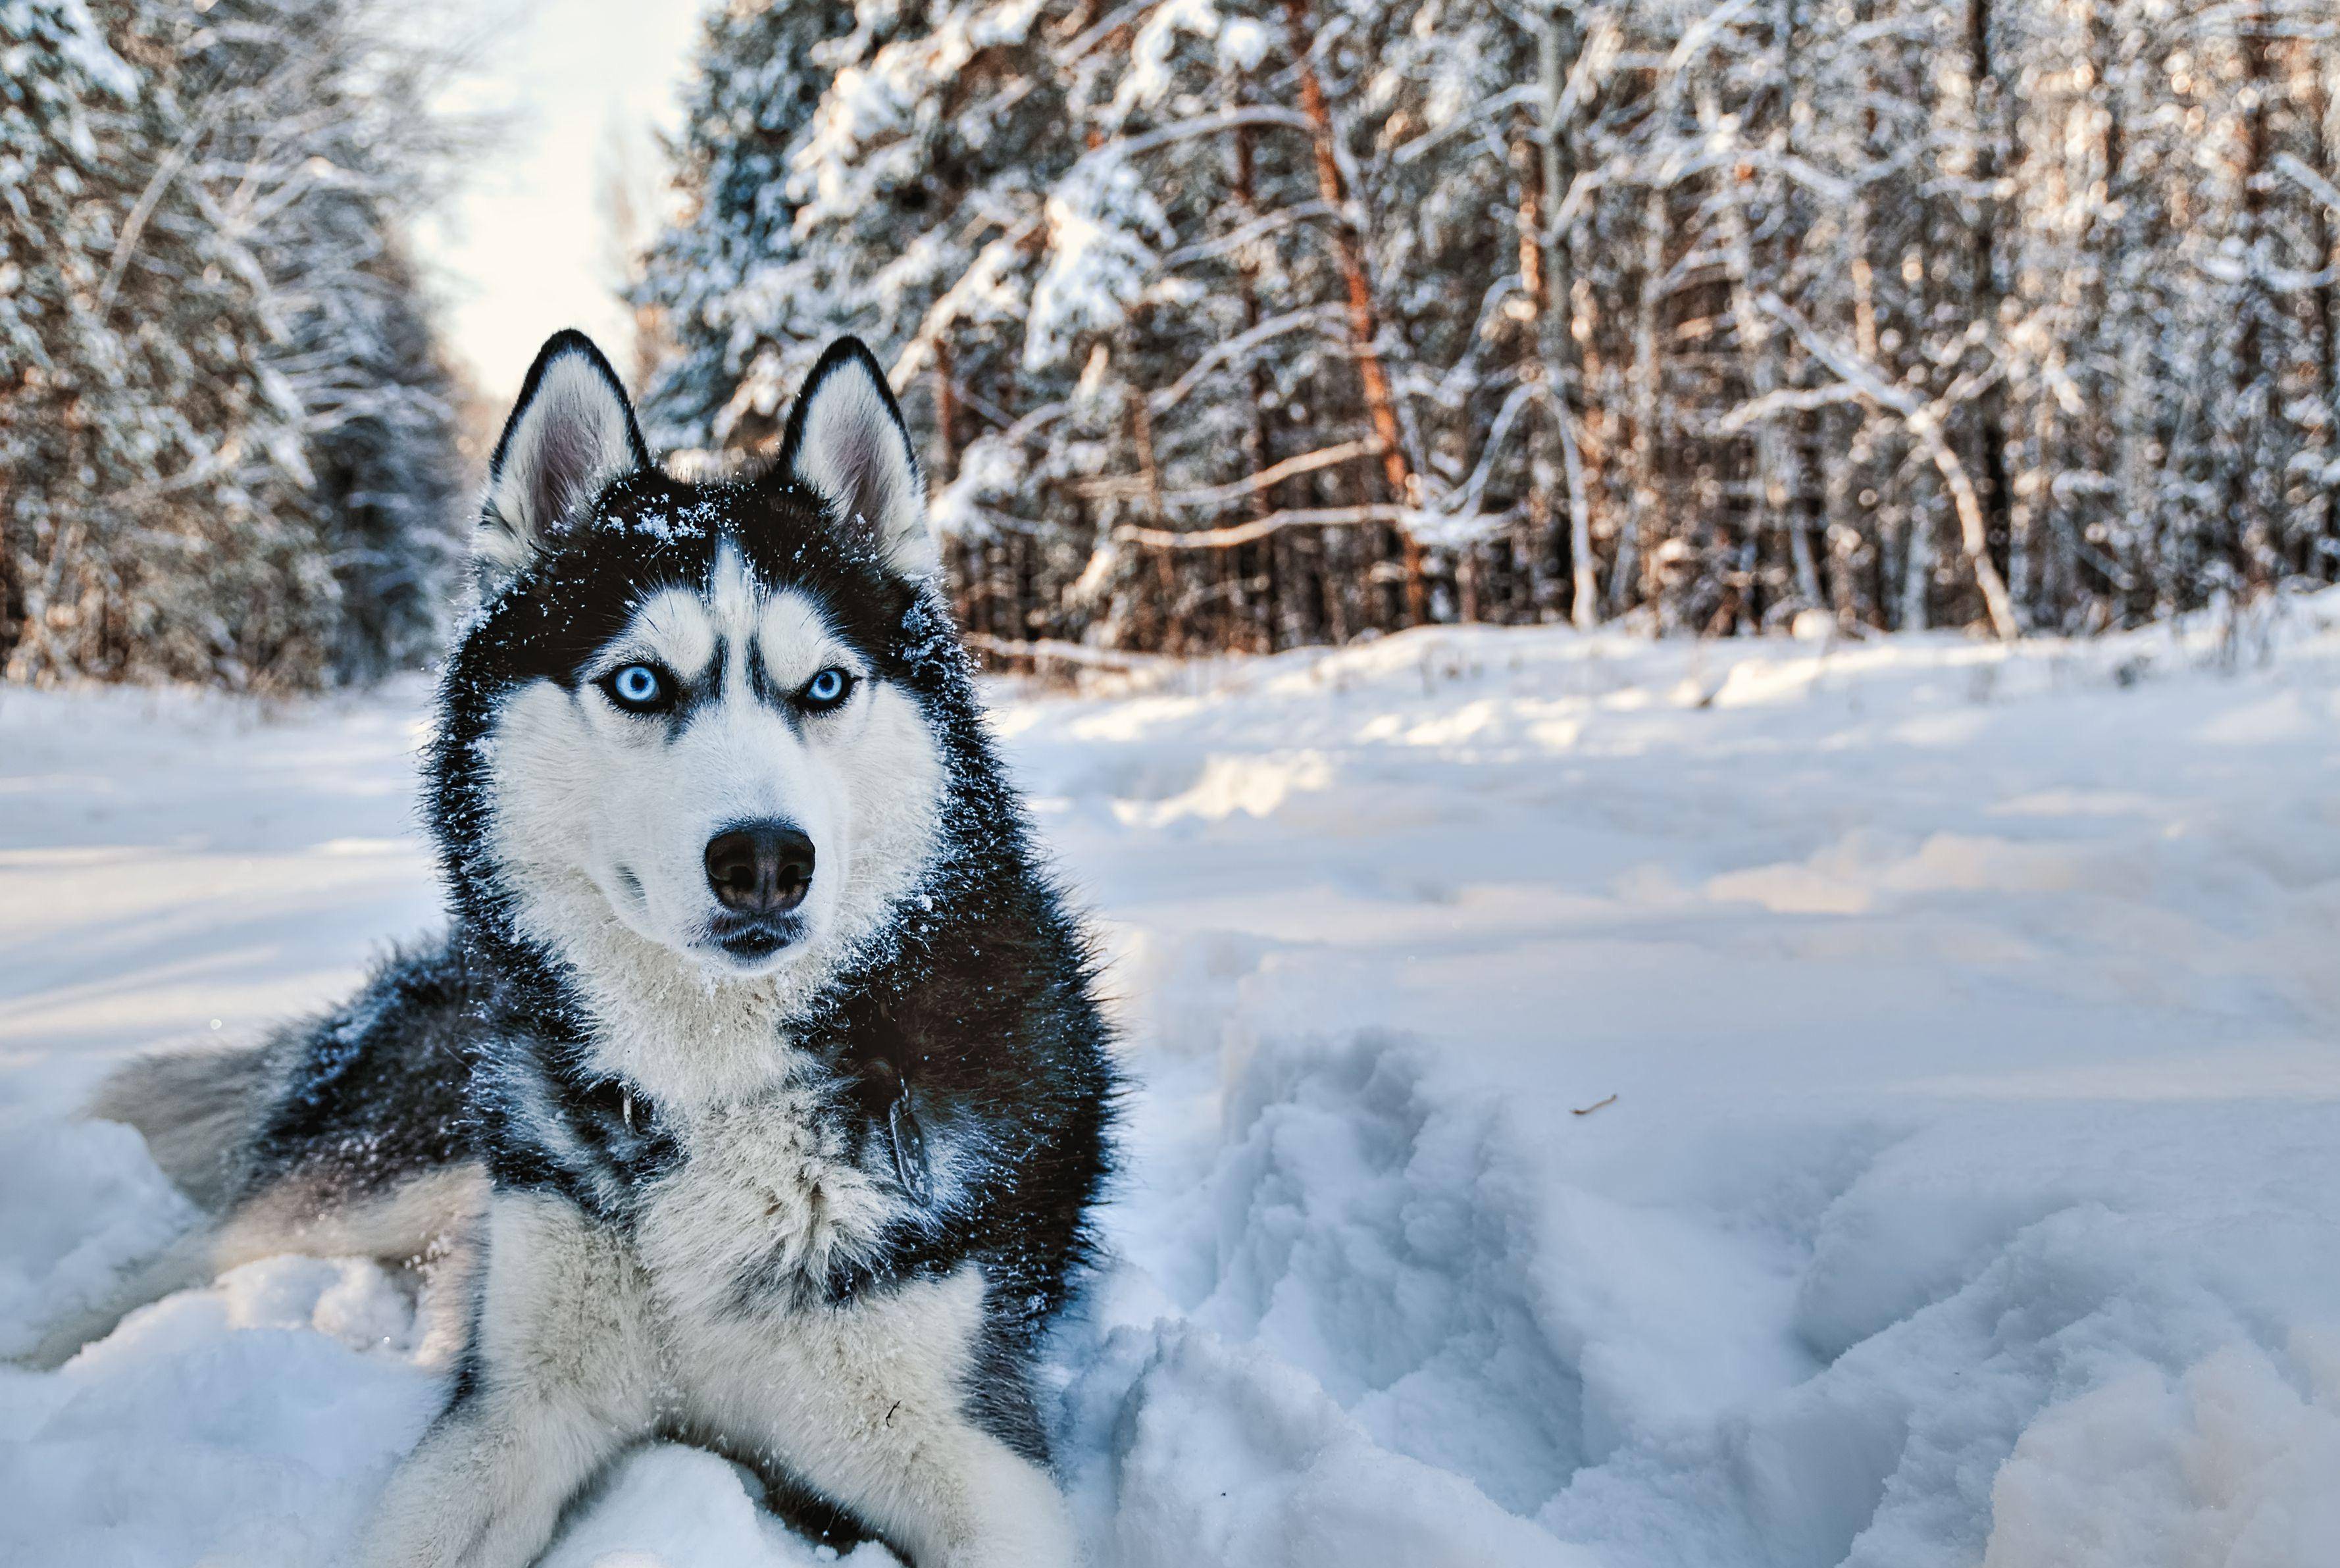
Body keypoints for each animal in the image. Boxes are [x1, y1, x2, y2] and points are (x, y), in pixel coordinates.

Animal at [41, 334, 1118, 1568]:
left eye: (826, 685)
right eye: (641, 681)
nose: (764, 859)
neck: (714, 1080)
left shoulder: (975, 1449)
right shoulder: (512, 1410)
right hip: (400, 1165)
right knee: (184, 1258)